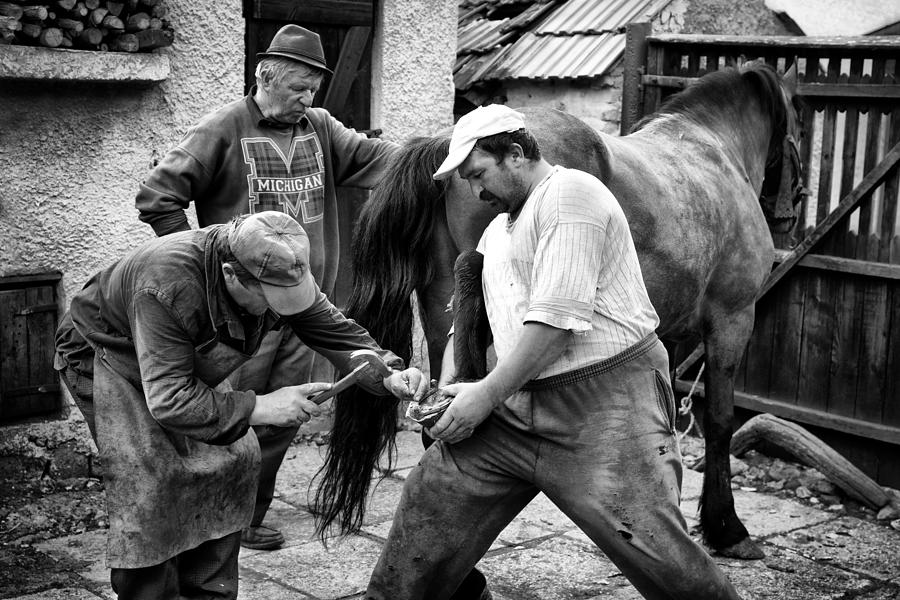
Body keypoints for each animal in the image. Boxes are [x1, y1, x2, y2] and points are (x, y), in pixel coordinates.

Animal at [312, 58, 804, 560]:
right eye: (799, 125)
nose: (794, 207)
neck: (712, 150)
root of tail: (443, 143)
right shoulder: (733, 319)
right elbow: (720, 422)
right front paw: (727, 527)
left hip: (440, 307)